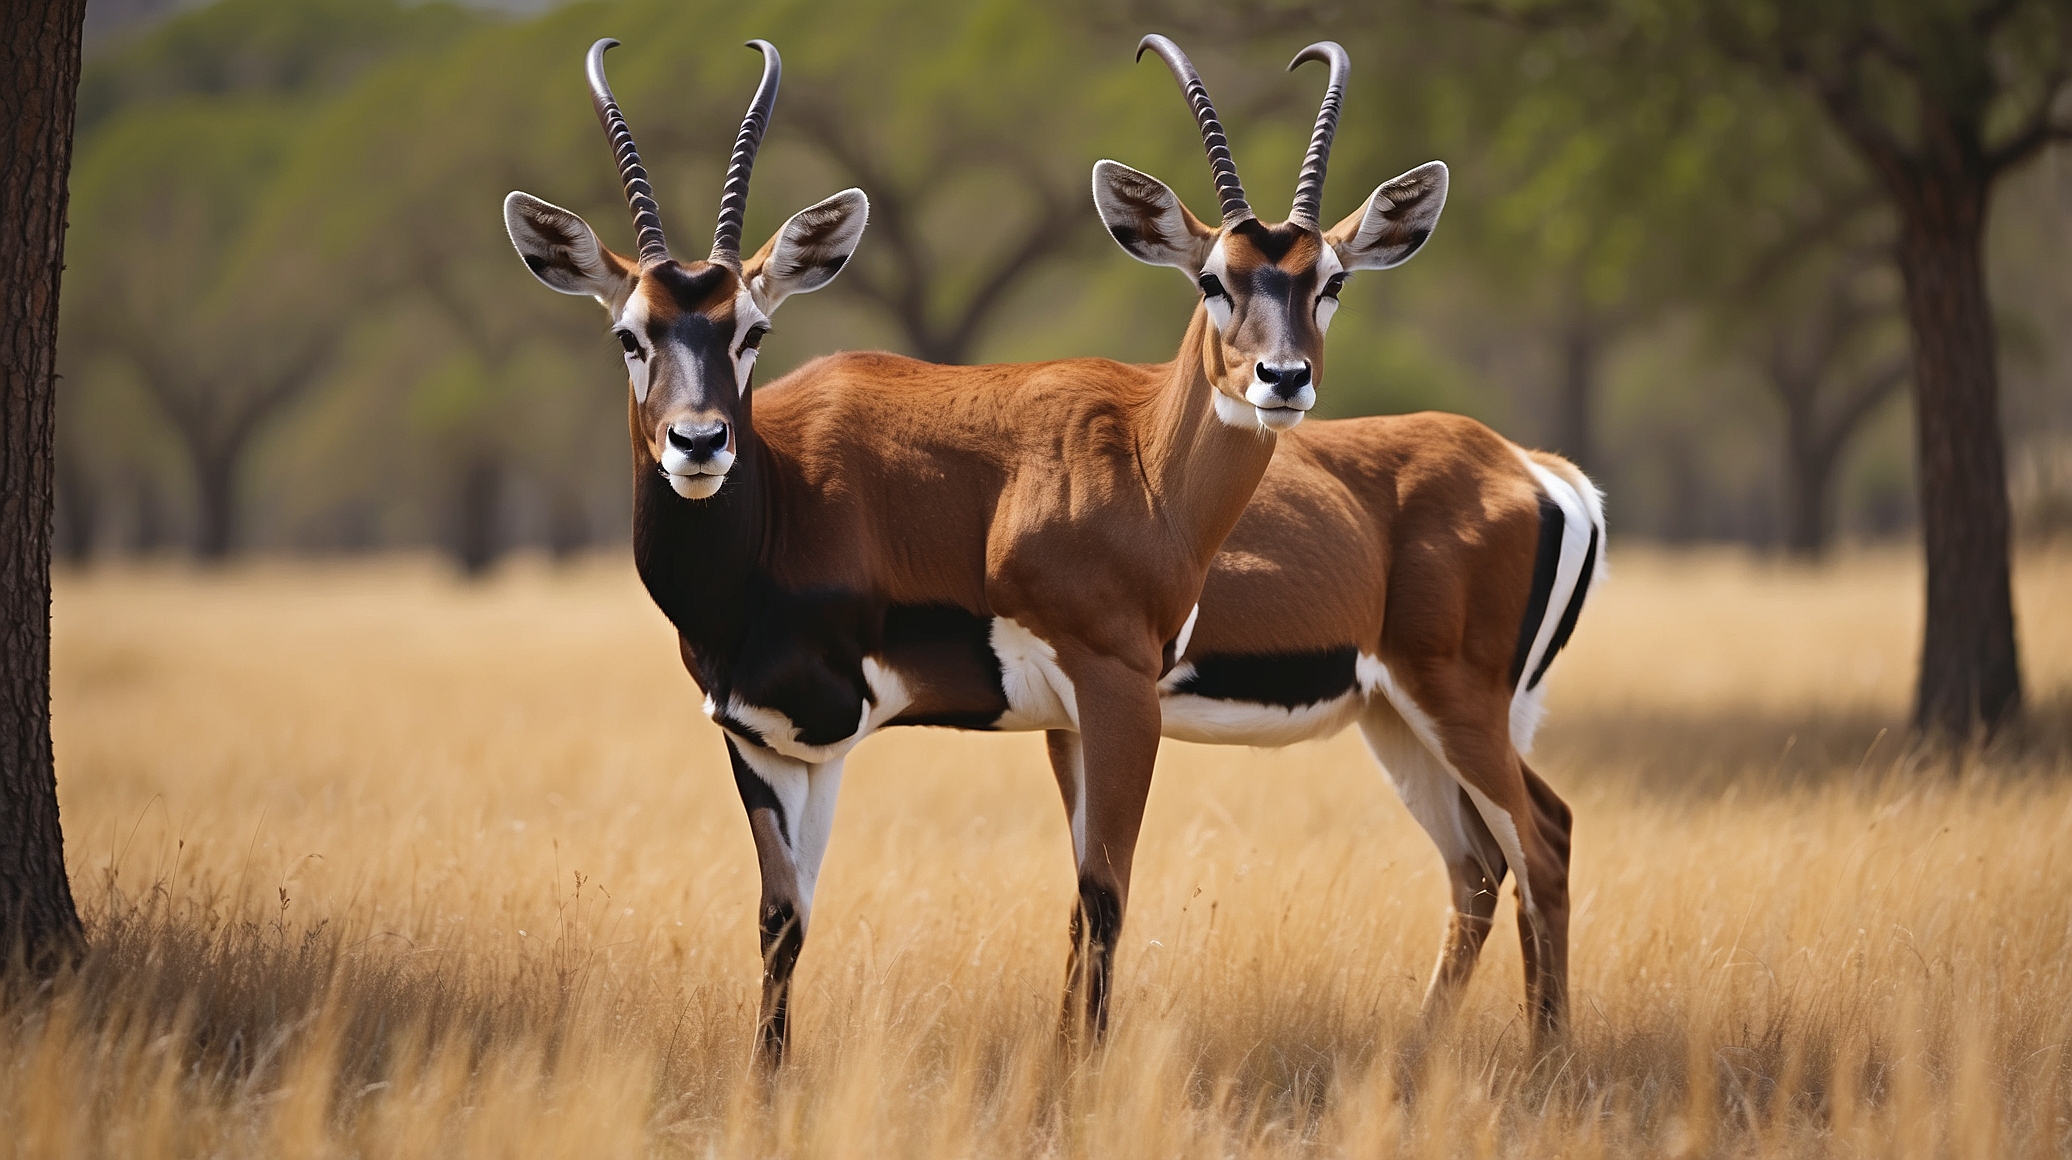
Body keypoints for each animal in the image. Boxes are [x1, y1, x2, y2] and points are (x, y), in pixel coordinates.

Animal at [495, 33, 1450, 1060]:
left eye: (751, 329)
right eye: (631, 334)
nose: (700, 442)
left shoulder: (1113, 694)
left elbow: (1101, 899)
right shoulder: (768, 737)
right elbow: (783, 925)